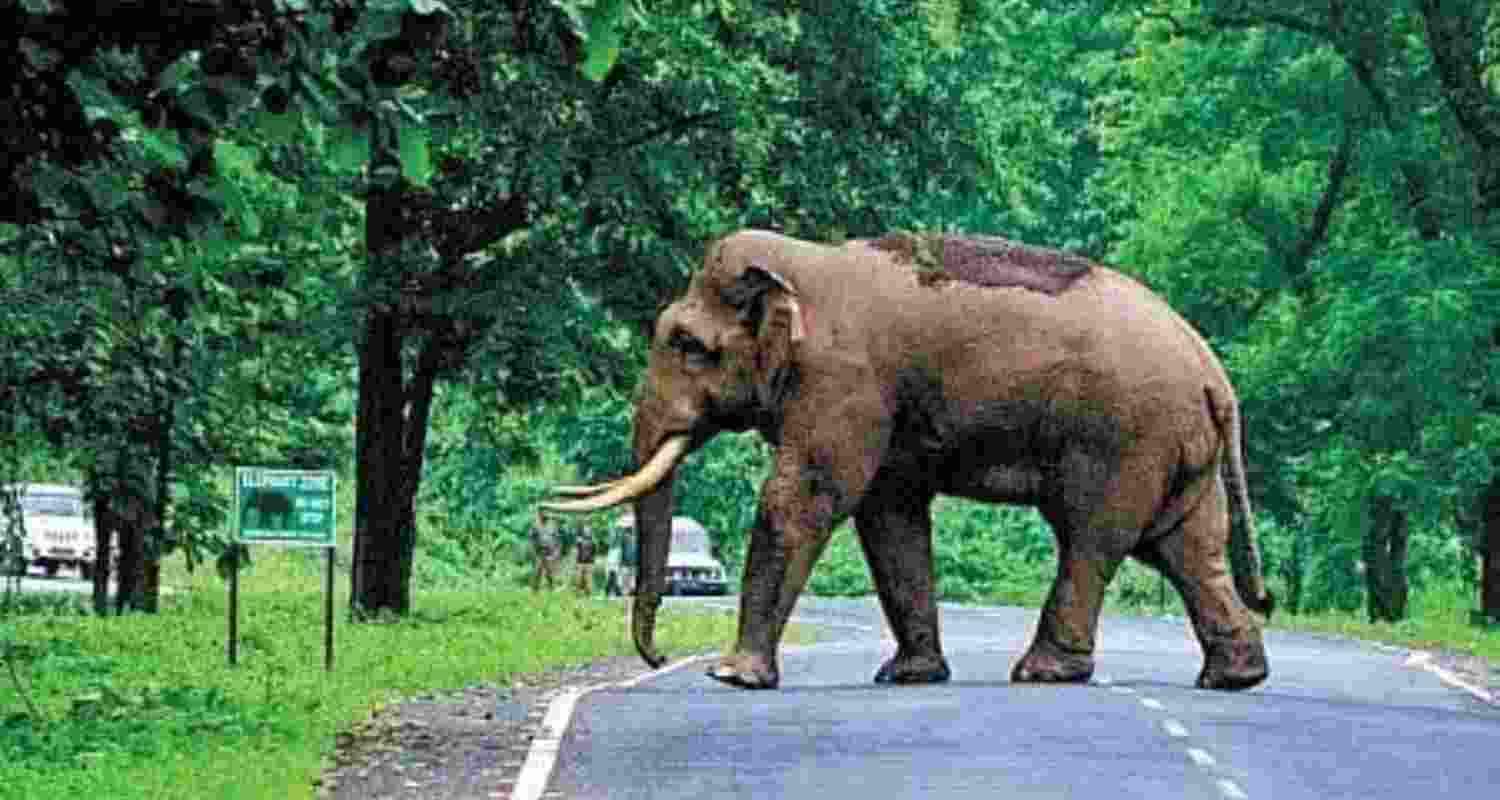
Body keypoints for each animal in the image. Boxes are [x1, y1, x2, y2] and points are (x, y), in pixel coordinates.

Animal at [545, 229, 1274, 692]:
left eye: (688, 345)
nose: (658, 654)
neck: (804, 263)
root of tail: (1213, 372)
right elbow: (888, 517)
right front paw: (910, 676)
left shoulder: (845, 382)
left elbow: (804, 497)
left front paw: (733, 676)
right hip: (1177, 447)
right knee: (1185, 546)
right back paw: (1233, 678)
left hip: (1122, 439)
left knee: (1092, 538)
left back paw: (1042, 673)